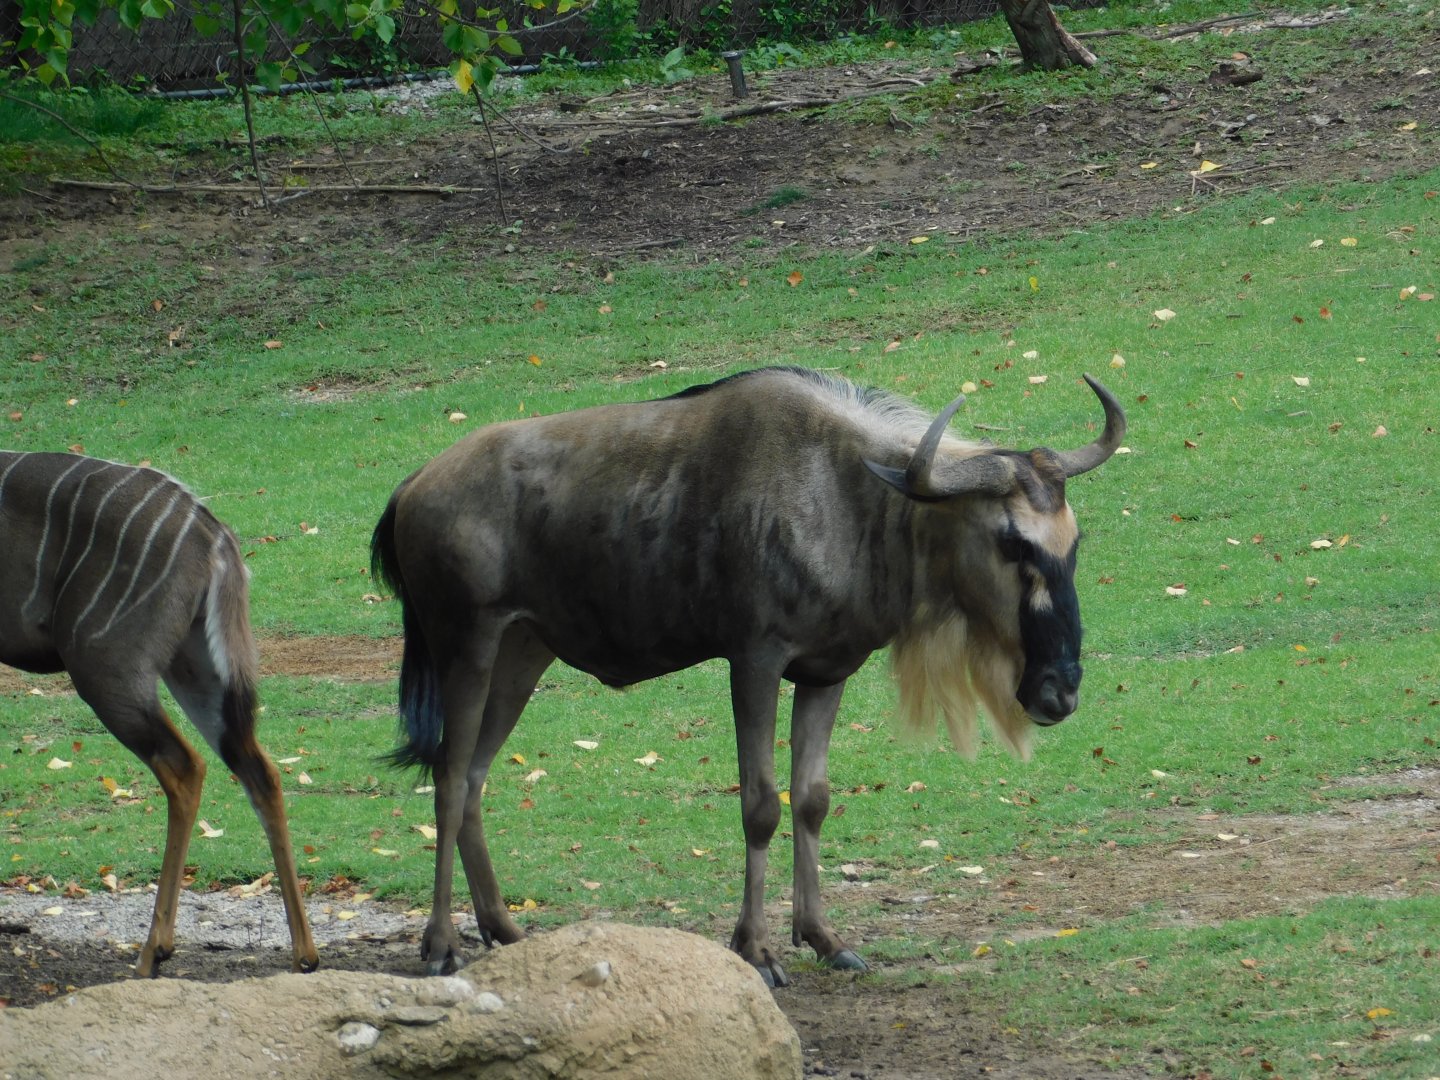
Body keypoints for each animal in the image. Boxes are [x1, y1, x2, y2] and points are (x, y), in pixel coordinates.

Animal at [0, 451, 318, 977]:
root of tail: (212, 534)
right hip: (197, 667)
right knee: (259, 769)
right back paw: (305, 954)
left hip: (107, 670)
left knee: (184, 765)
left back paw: (154, 951)